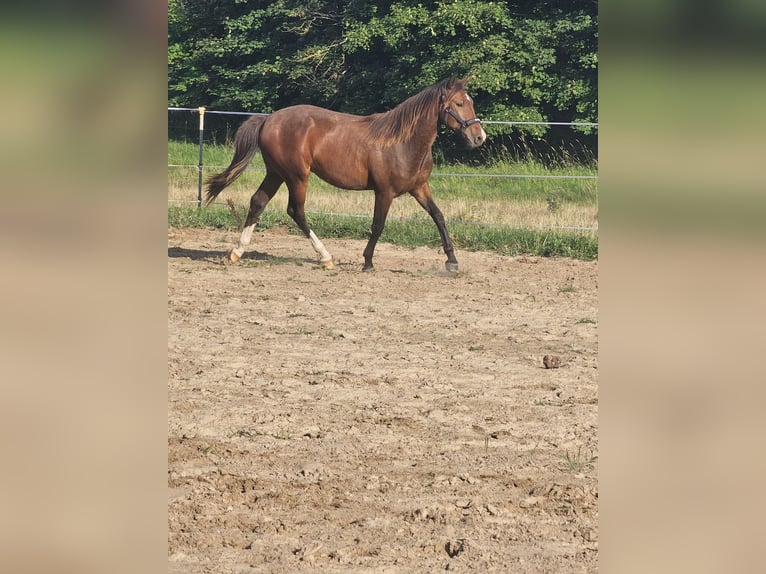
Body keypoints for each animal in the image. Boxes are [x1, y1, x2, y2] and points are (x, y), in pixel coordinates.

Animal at [205, 77, 486, 272]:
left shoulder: (419, 188)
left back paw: (237, 252)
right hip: (297, 176)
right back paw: (326, 257)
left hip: (276, 173)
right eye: (459, 103)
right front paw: (368, 262)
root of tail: (268, 119)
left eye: (471, 102)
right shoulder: (384, 192)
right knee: (296, 211)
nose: (479, 137)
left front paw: (452, 261)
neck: (402, 142)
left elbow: (439, 217)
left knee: (258, 202)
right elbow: (378, 225)